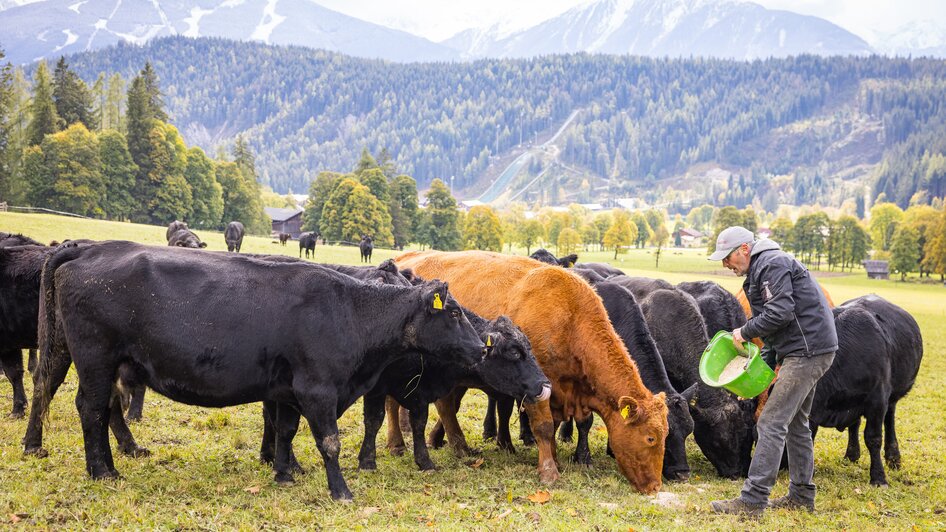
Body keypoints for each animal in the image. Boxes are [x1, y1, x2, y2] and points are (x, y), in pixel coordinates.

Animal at [27, 243, 486, 500]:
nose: (482, 347)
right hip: (94, 358)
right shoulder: (318, 388)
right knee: (89, 408)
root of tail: (87, 250)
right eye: (455, 313)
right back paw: (101, 471)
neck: (350, 311)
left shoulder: (285, 389)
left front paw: (283, 474)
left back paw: (109, 464)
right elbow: (330, 442)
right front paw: (341, 491)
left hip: (102, 361)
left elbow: (284, 431)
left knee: (101, 407)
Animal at [394, 249, 668, 494]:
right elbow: (544, 426)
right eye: (650, 438)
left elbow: (562, 425)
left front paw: (556, 459)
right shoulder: (535, 385)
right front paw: (549, 470)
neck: (569, 316)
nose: (655, 486)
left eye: (666, 434)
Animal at [804, 296, 920, 486]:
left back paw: (893, 458)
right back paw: (851, 455)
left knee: (889, 420)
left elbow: (873, 438)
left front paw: (878, 477)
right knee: (855, 424)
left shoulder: (878, 399)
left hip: (891, 397)